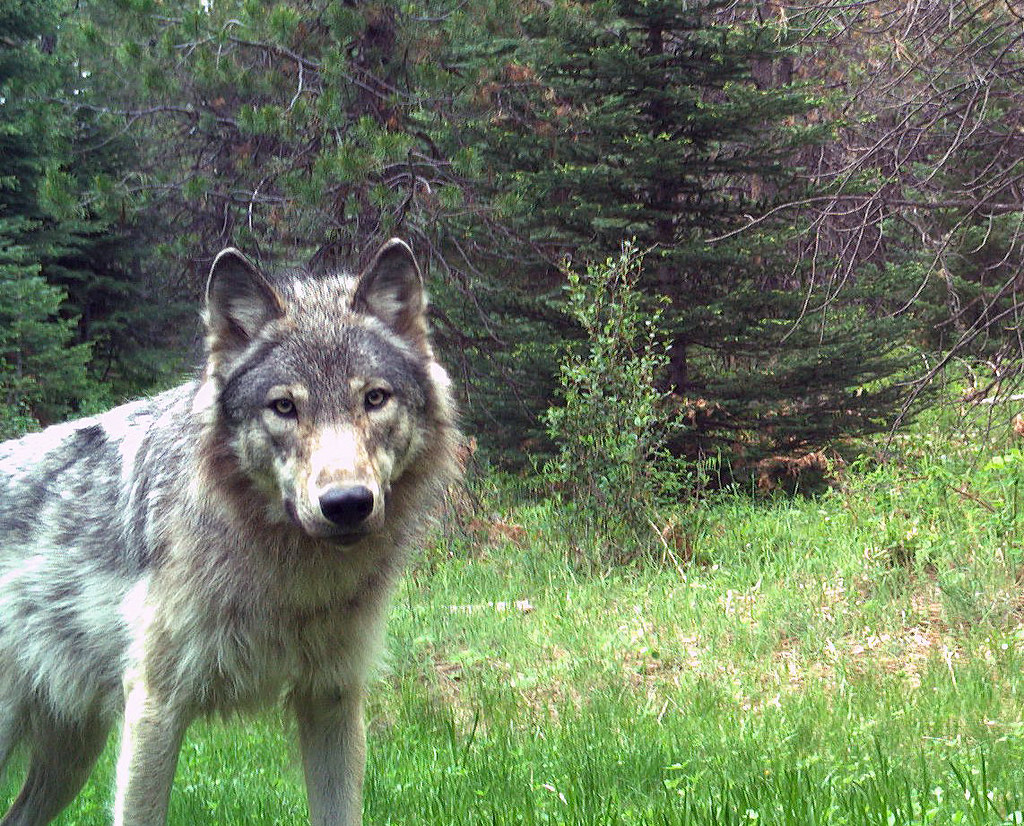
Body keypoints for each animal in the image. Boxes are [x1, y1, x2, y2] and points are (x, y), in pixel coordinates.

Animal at [0, 238, 459, 826]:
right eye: (284, 406)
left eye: (374, 399)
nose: (347, 505)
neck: (290, 580)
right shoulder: (156, 706)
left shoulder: (332, 697)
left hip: (72, 756)